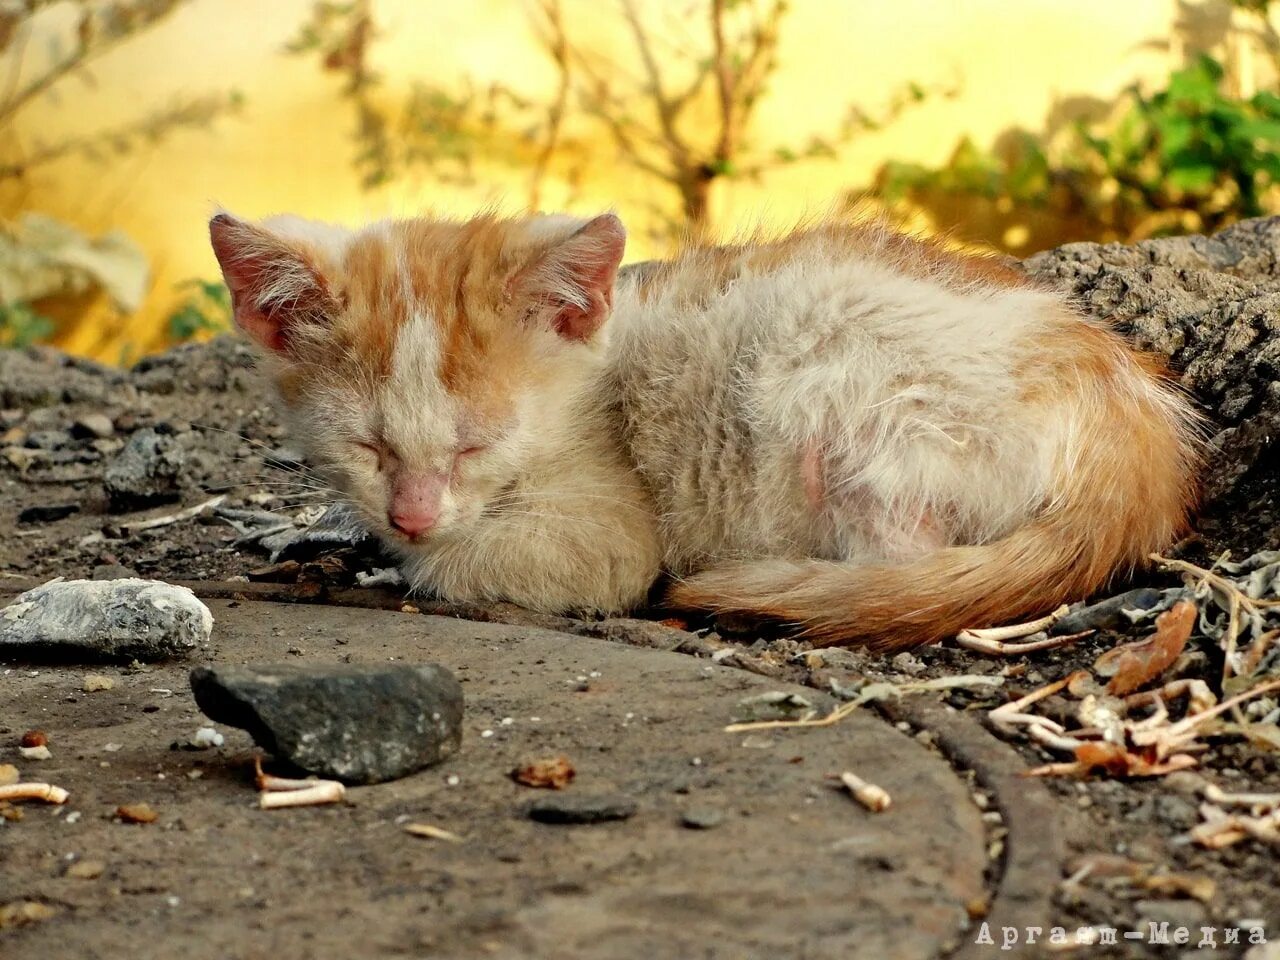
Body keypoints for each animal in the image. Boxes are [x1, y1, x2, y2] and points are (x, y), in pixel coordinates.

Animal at [209, 211, 1198, 655]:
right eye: (367, 448)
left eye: (476, 445)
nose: (411, 514)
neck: (593, 383)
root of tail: (1131, 428)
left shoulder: (607, 531)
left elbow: (473, 562)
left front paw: (392, 566)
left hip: (827, 372)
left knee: (901, 563)